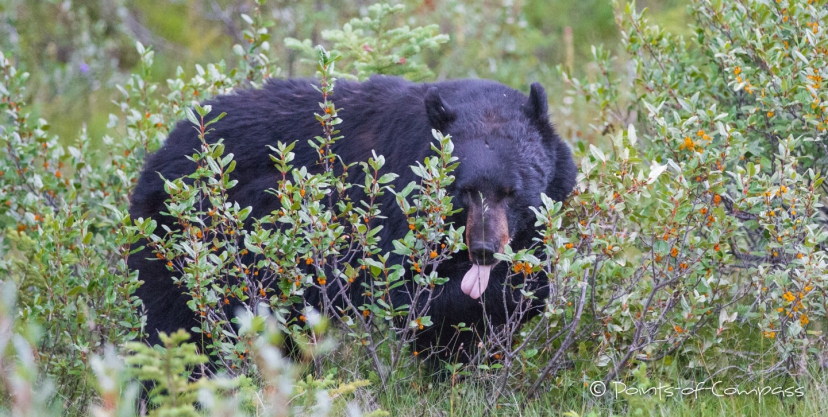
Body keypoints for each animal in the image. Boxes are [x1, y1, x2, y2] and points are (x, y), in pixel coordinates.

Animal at [129, 75, 576, 360]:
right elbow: (419, 301)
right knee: (177, 322)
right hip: (186, 242)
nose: (483, 250)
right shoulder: (397, 214)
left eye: (512, 191)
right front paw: (515, 289)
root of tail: (157, 158)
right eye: (464, 191)